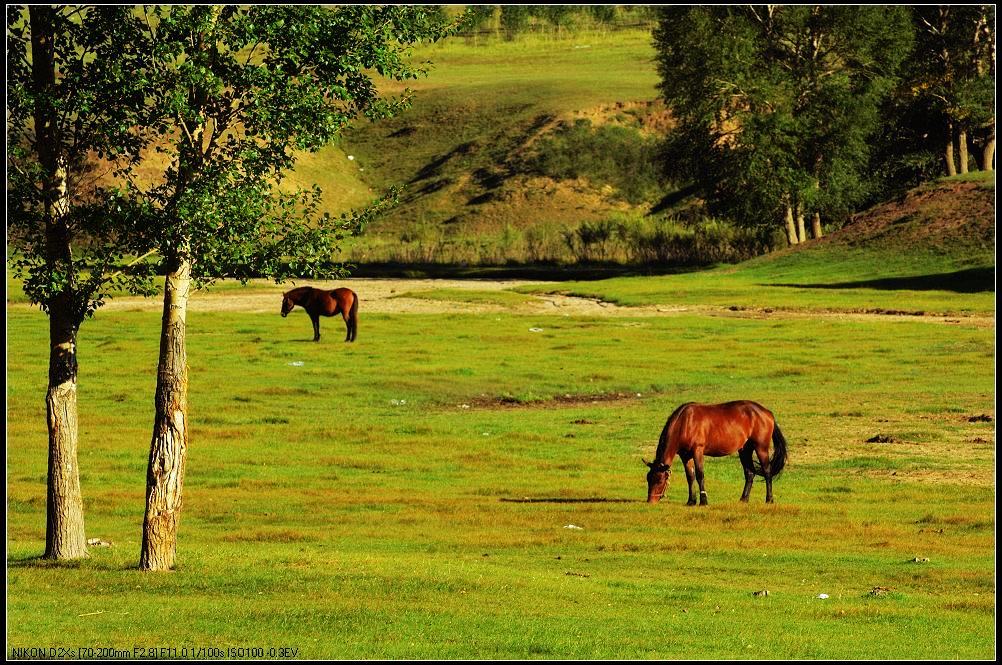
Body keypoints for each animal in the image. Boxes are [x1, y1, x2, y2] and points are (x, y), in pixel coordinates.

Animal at [645, 400, 785, 504]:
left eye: (660, 481)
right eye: (648, 478)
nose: (650, 501)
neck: (685, 422)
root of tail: (767, 413)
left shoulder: (698, 451)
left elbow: (700, 475)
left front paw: (703, 501)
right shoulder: (685, 456)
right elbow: (690, 477)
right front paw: (691, 501)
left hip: (761, 448)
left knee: (767, 472)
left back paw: (769, 499)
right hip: (745, 450)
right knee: (750, 473)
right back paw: (743, 499)